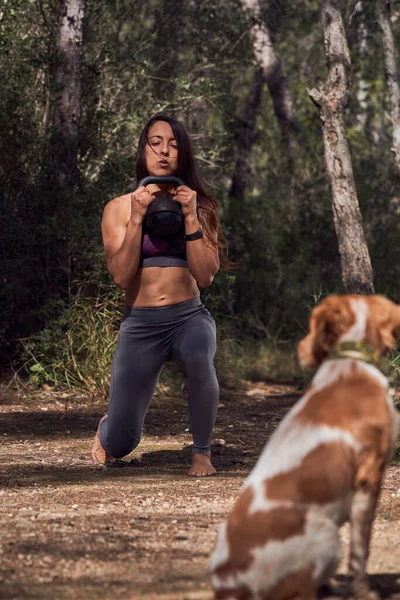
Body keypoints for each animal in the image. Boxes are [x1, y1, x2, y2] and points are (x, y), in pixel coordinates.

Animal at [209, 296, 400, 600]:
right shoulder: (369, 477)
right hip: (328, 537)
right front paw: (364, 592)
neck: (349, 360)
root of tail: (229, 584)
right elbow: (361, 549)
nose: (300, 351)